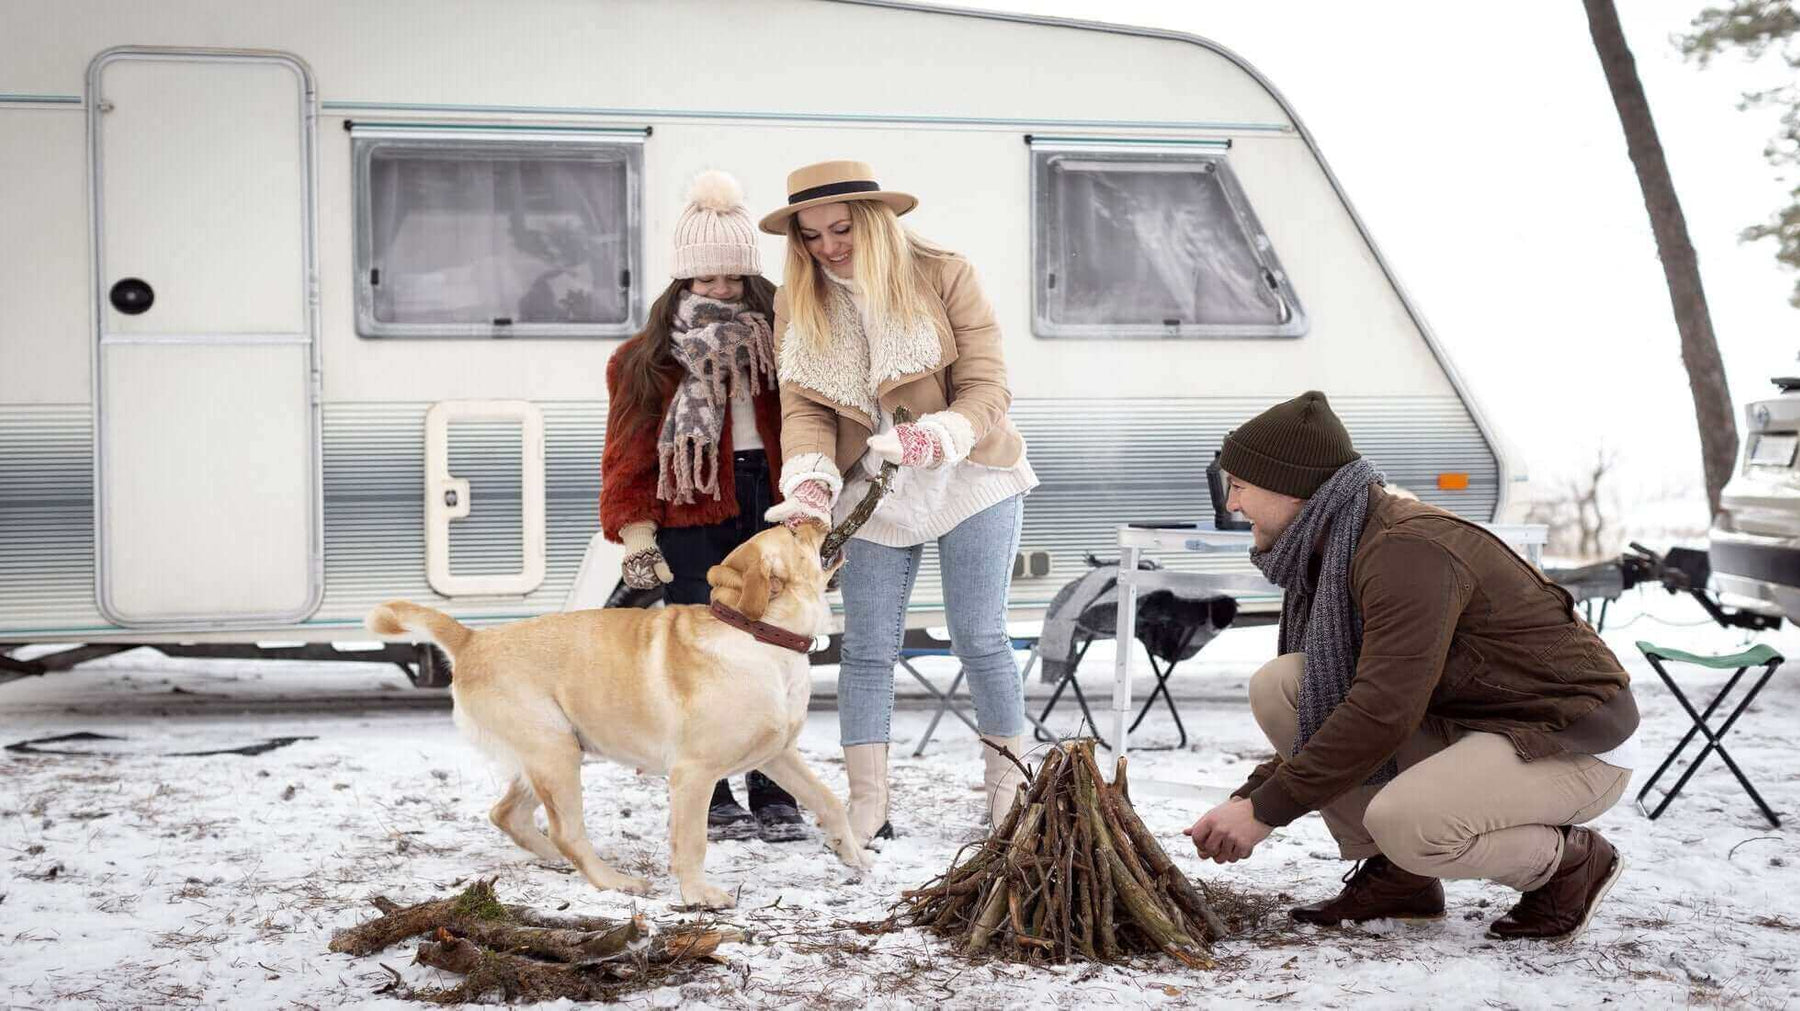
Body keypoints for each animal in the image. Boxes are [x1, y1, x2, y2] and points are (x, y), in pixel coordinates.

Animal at [365, 518, 864, 906]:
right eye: (795, 531)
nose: (818, 514)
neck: (759, 634)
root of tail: (472, 639)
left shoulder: (778, 754)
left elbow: (828, 799)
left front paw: (853, 853)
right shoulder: (694, 774)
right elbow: (692, 842)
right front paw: (698, 894)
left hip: (551, 754)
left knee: (507, 814)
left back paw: (554, 859)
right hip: (555, 752)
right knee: (565, 831)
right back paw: (613, 880)